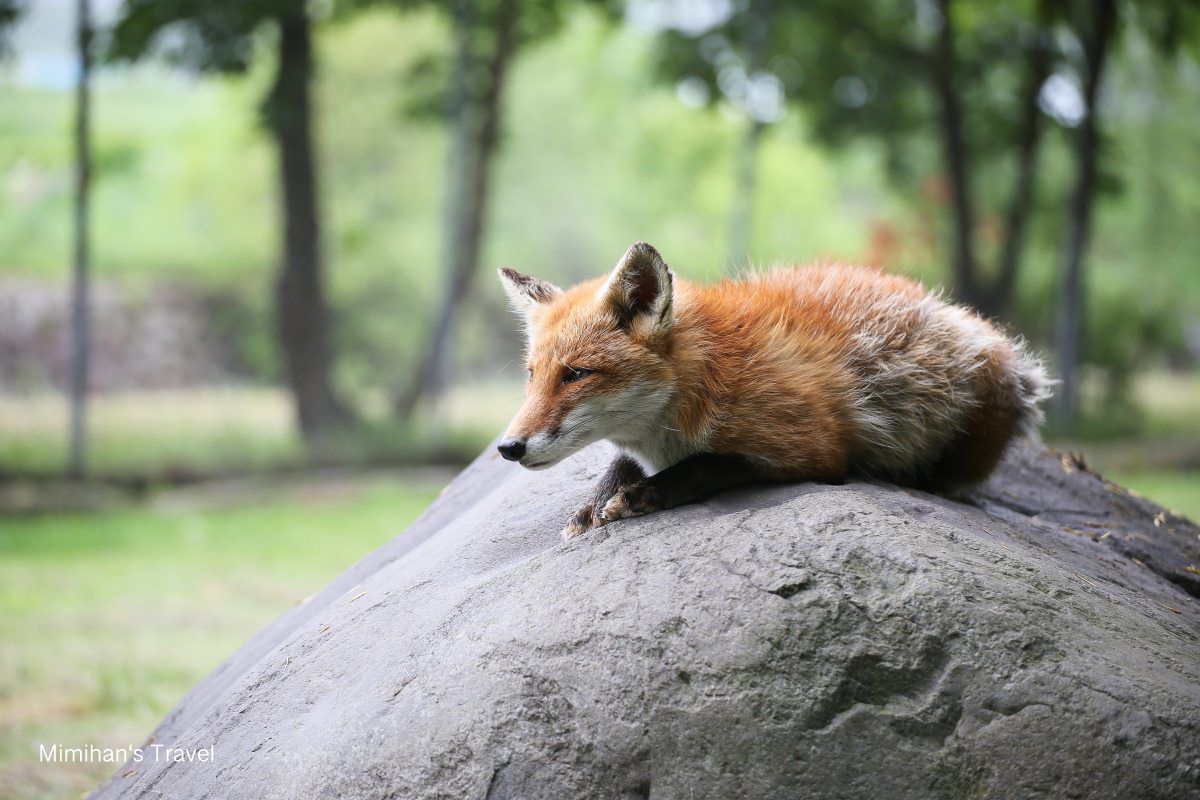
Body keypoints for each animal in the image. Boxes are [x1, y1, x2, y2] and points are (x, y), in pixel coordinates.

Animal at [496, 242, 1051, 544]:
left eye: (575, 374)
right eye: (532, 375)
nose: (507, 447)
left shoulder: (815, 447)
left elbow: (708, 465)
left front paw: (644, 494)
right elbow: (617, 464)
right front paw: (595, 501)